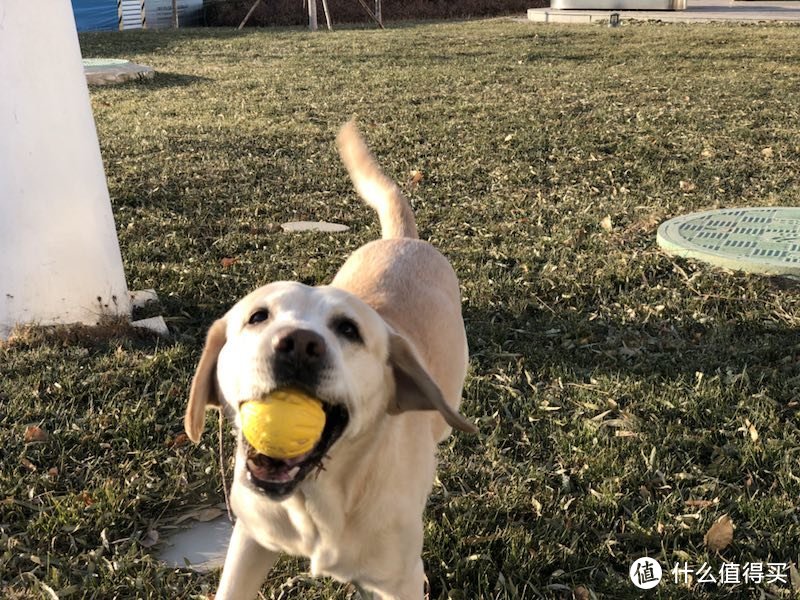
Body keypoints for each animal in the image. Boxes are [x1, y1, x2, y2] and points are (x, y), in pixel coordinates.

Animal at [184, 122, 478, 600]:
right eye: (258, 316)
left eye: (349, 330)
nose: (299, 344)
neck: (317, 502)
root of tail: (403, 239)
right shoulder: (249, 538)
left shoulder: (402, 580)